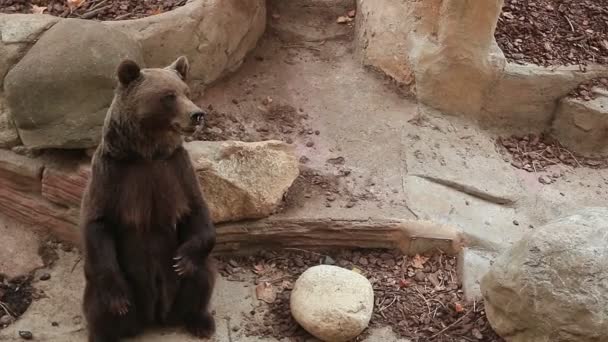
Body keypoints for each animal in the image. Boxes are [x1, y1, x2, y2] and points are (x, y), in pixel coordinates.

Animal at [79, 56, 215, 342]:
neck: (147, 153)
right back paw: (107, 330)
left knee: (202, 276)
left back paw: (200, 321)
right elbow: (97, 222)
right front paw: (118, 299)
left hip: (179, 291)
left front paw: (183, 261)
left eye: (187, 92)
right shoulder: (113, 174)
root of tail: (155, 316)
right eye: (168, 95)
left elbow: (197, 211)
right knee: (98, 303)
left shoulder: (176, 169)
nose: (197, 114)